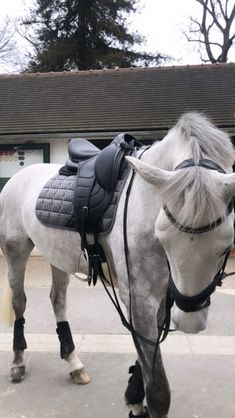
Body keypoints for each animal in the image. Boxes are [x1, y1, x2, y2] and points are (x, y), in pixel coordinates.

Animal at [0, 112, 235, 418]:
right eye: (164, 238)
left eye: (226, 245)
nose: (190, 321)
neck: (146, 200)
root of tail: (18, 176)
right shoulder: (139, 298)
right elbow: (159, 391)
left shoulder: (161, 296)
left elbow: (145, 359)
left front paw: (134, 396)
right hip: (15, 250)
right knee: (20, 301)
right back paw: (18, 361)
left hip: (57, 255)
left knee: (57, 300)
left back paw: (73, 361)